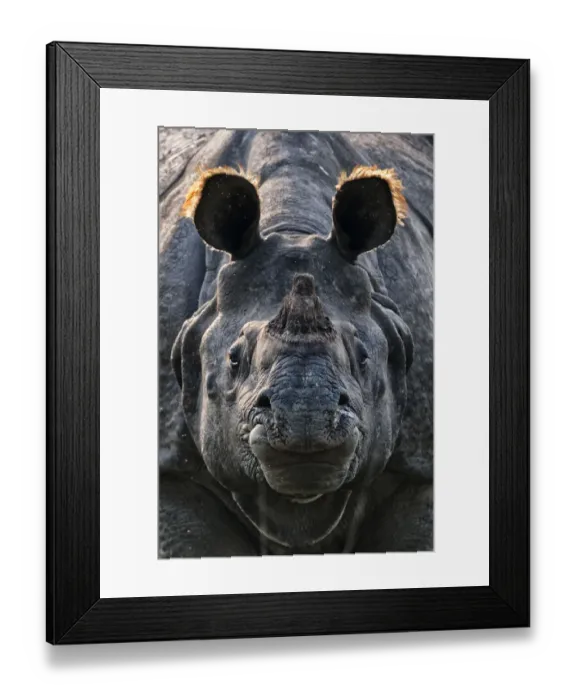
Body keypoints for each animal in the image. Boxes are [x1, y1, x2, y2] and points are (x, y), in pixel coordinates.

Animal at [159, 129, 433, 556]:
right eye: (234, 359)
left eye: (364, 358)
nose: (305, 419)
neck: (292, 229)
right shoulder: (168, 463)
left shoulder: (421, 463)